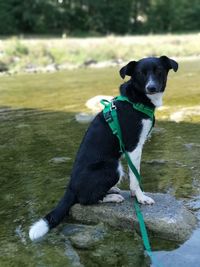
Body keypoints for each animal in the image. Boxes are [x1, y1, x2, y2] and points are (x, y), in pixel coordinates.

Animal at [28, 56, 178, 241]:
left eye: (159, 71)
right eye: (141, 73)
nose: (151, 87)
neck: (135, 100)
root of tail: (71, 187)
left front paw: (135, 195)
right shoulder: (134, 147)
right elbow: (135, 178)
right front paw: (141, 198)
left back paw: (111, 190)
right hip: (113, 168)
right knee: (85, 200)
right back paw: (112, 197)